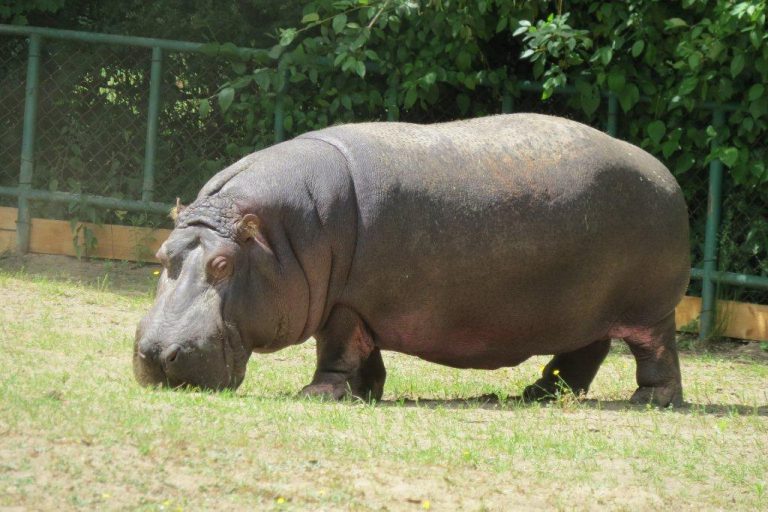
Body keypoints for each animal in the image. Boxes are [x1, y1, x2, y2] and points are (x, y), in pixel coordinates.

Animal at [134, 113, 690, 407]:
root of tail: (664, 174)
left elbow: (334, 351)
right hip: (584, 309)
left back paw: (649, 401)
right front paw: (366, 392)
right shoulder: (360, 305)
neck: (275, 236)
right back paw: (535, 393)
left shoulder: (345, 306)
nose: (158, 354)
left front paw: (316, 393)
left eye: (223, 265)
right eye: (162, 254)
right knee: (584, 353)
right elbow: (362, 353)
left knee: (656, 351)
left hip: (650, 309)